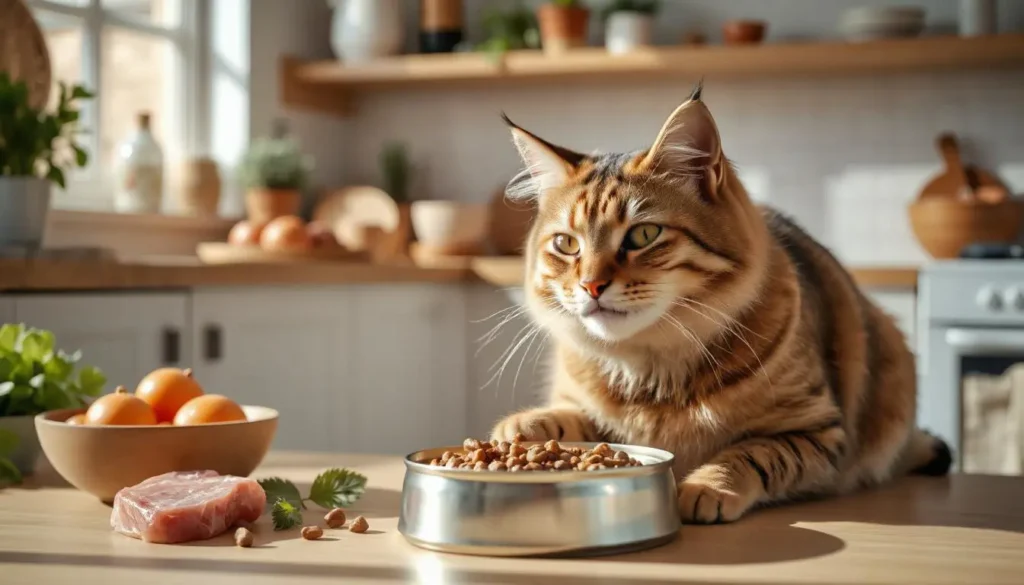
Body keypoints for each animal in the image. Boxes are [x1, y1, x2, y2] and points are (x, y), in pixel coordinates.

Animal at [487, 83, 950, 524]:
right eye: (566, 245)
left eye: (643, 235)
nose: (590, 285)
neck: (650, 366)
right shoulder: (590, 410)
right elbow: (572, 417)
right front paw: (519, 428)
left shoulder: (816, 430)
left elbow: (751, 455)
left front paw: (705, 487)